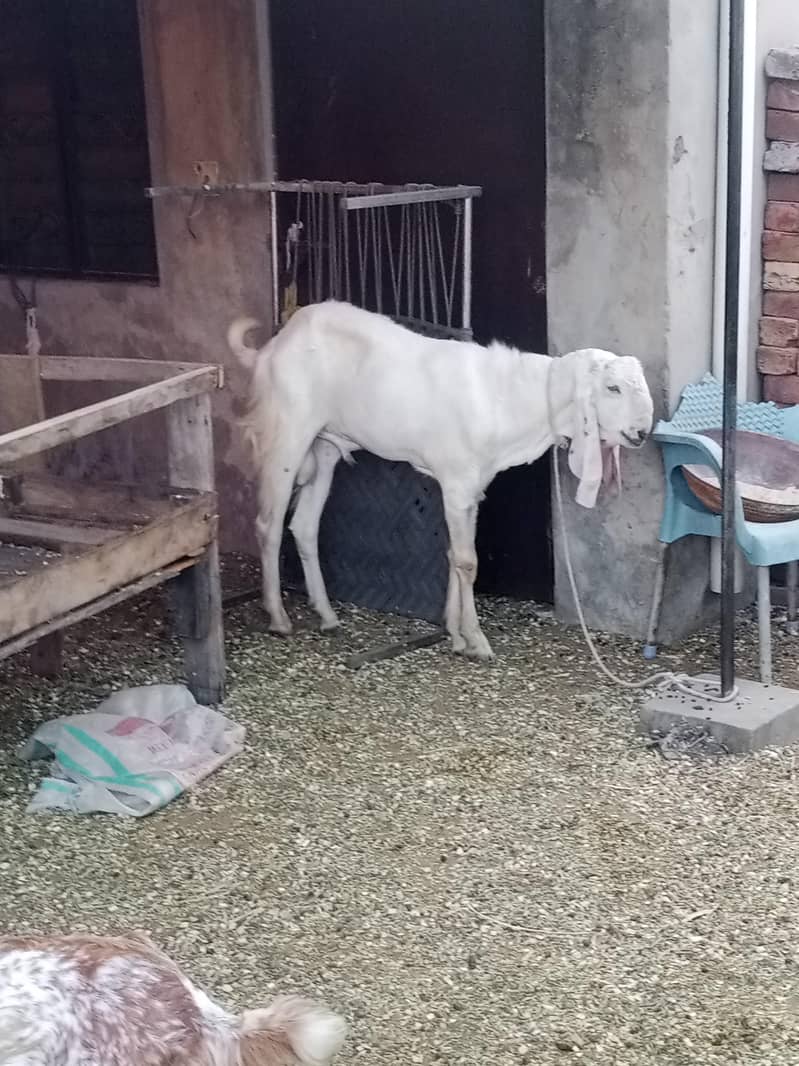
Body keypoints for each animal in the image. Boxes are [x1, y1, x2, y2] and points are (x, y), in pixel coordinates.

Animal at [229, 301, 654, 660]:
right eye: (612, 387)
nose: (641, 433)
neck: (508, 400)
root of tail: (271, 348)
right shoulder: (456, 482)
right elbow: (467, 561)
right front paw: (476, 640)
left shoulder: (472, 488)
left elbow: (455, 555)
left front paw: (455, 634)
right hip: (288, 434)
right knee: (268, 525)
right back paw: (279, 618)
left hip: (324, 447)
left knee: (304, 526)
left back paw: (327, 615)